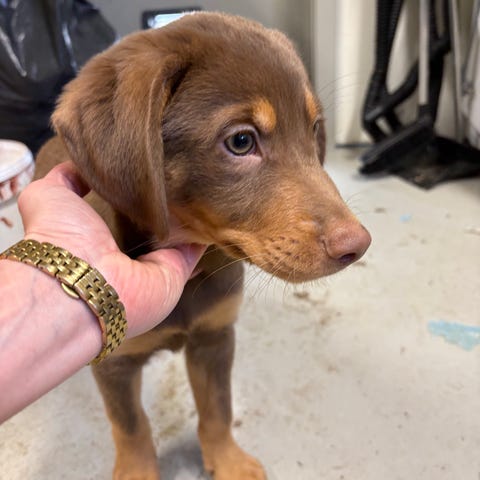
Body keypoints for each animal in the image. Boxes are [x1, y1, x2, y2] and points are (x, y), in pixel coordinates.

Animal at [35, 12, 371, 480]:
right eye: (241, 142)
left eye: (315, 128)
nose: (357, 246)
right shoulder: (117, 363)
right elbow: (131, 425)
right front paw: (137, 470)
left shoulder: (214, 337)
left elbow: (217, 408)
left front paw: (228, 460)